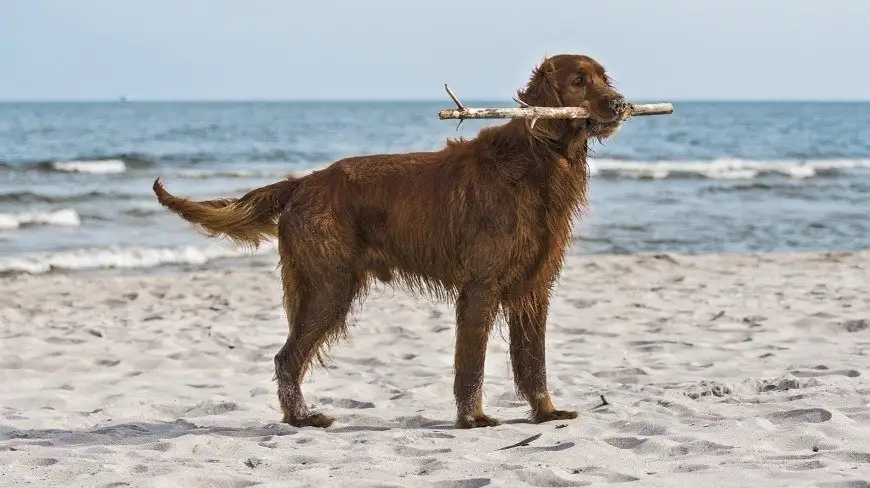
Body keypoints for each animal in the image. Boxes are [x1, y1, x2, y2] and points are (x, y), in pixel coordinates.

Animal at [153, 52, 632, 428]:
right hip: (329, 286)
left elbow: (534, 361)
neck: (538, 160)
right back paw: (302, 418)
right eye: (577, 81)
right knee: (286, 358)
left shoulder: (534, 288)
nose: (621, 103)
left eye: (604, 77)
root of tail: (303, 183)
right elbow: (472, 365)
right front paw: (473, 418)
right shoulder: (482, 286)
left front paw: (546, 412)